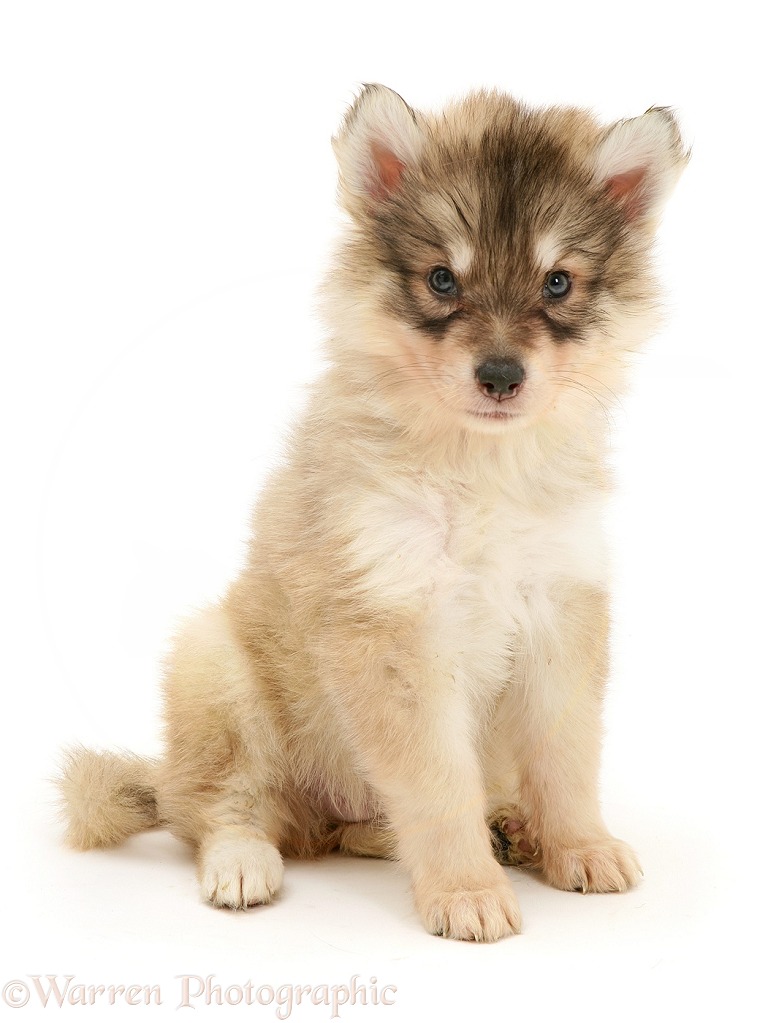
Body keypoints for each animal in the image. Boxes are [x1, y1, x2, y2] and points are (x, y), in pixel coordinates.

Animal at [57, 83, 687, 937]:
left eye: (557, 282)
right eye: (442, 279)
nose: (500, 376)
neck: (476, 465)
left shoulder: (560, 611)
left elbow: (565, 755)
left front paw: (578, 844)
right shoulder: (395, 630)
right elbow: (437, 782)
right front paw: (467, 890)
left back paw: (502, 826)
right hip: (215, 670)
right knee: (220, 804)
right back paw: (242, 860)